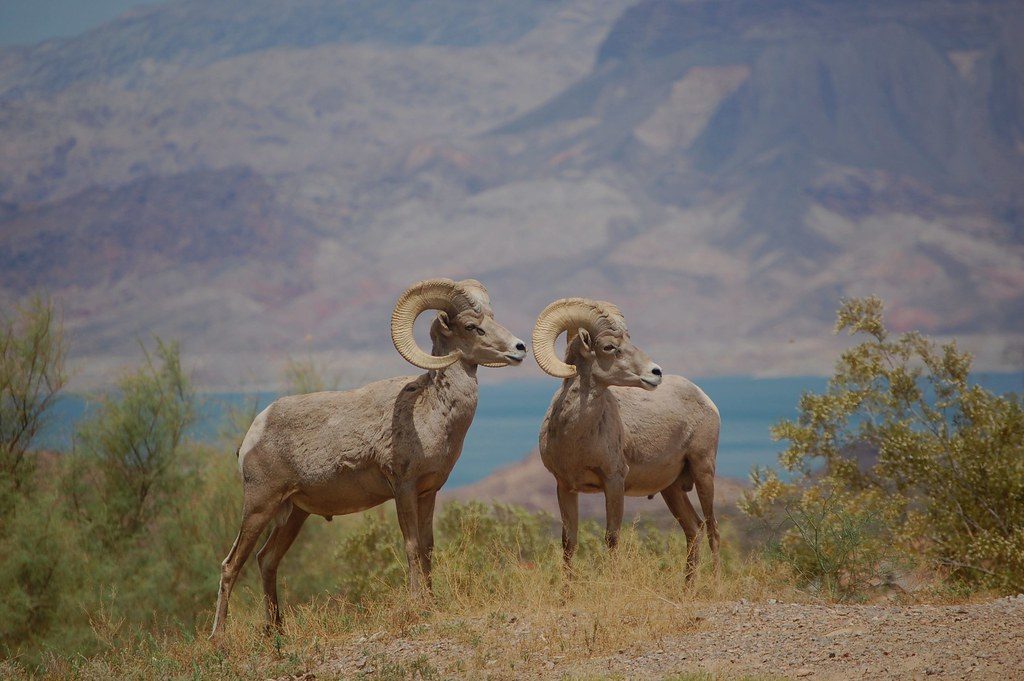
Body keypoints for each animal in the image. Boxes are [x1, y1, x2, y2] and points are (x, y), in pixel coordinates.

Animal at [210, 278, 527, 637]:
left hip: (294, 515)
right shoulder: (403, 488)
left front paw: (432, 604)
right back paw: (219, 638)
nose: (519, 348)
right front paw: (417, 606)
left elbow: (428, 547)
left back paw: (277, 630)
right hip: (259, 507)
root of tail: (254, 433)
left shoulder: (428, 492)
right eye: (472, 326)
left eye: (492, 317)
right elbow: (412, 546)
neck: (431, 409)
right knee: (231, 565)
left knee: (267, 560)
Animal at [532, 298, 720, 576]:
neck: (576, 440)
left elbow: (612, 538)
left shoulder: (614, 481)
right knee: (694, 529)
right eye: (609, 347)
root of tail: (705, 399)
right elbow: (569, 542)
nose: (655, 372)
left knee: (713, 531)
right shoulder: (565, 486)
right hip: (672, 489)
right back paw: (688, 586)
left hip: (703, 471)